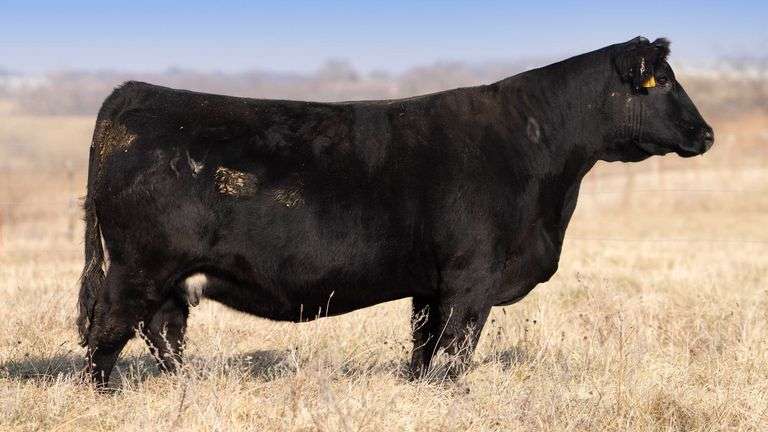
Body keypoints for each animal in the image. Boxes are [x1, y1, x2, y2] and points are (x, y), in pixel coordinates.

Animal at [77, 36, 713, 387]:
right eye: (661, 82)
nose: (706, 134)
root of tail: (132, 93)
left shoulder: (431, 287)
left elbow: (424, 351)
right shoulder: (471, 280)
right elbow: (454, 354)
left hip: (169, 277)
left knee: (161, 331)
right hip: (138, 266)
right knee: (107, 332)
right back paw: (101, 396)